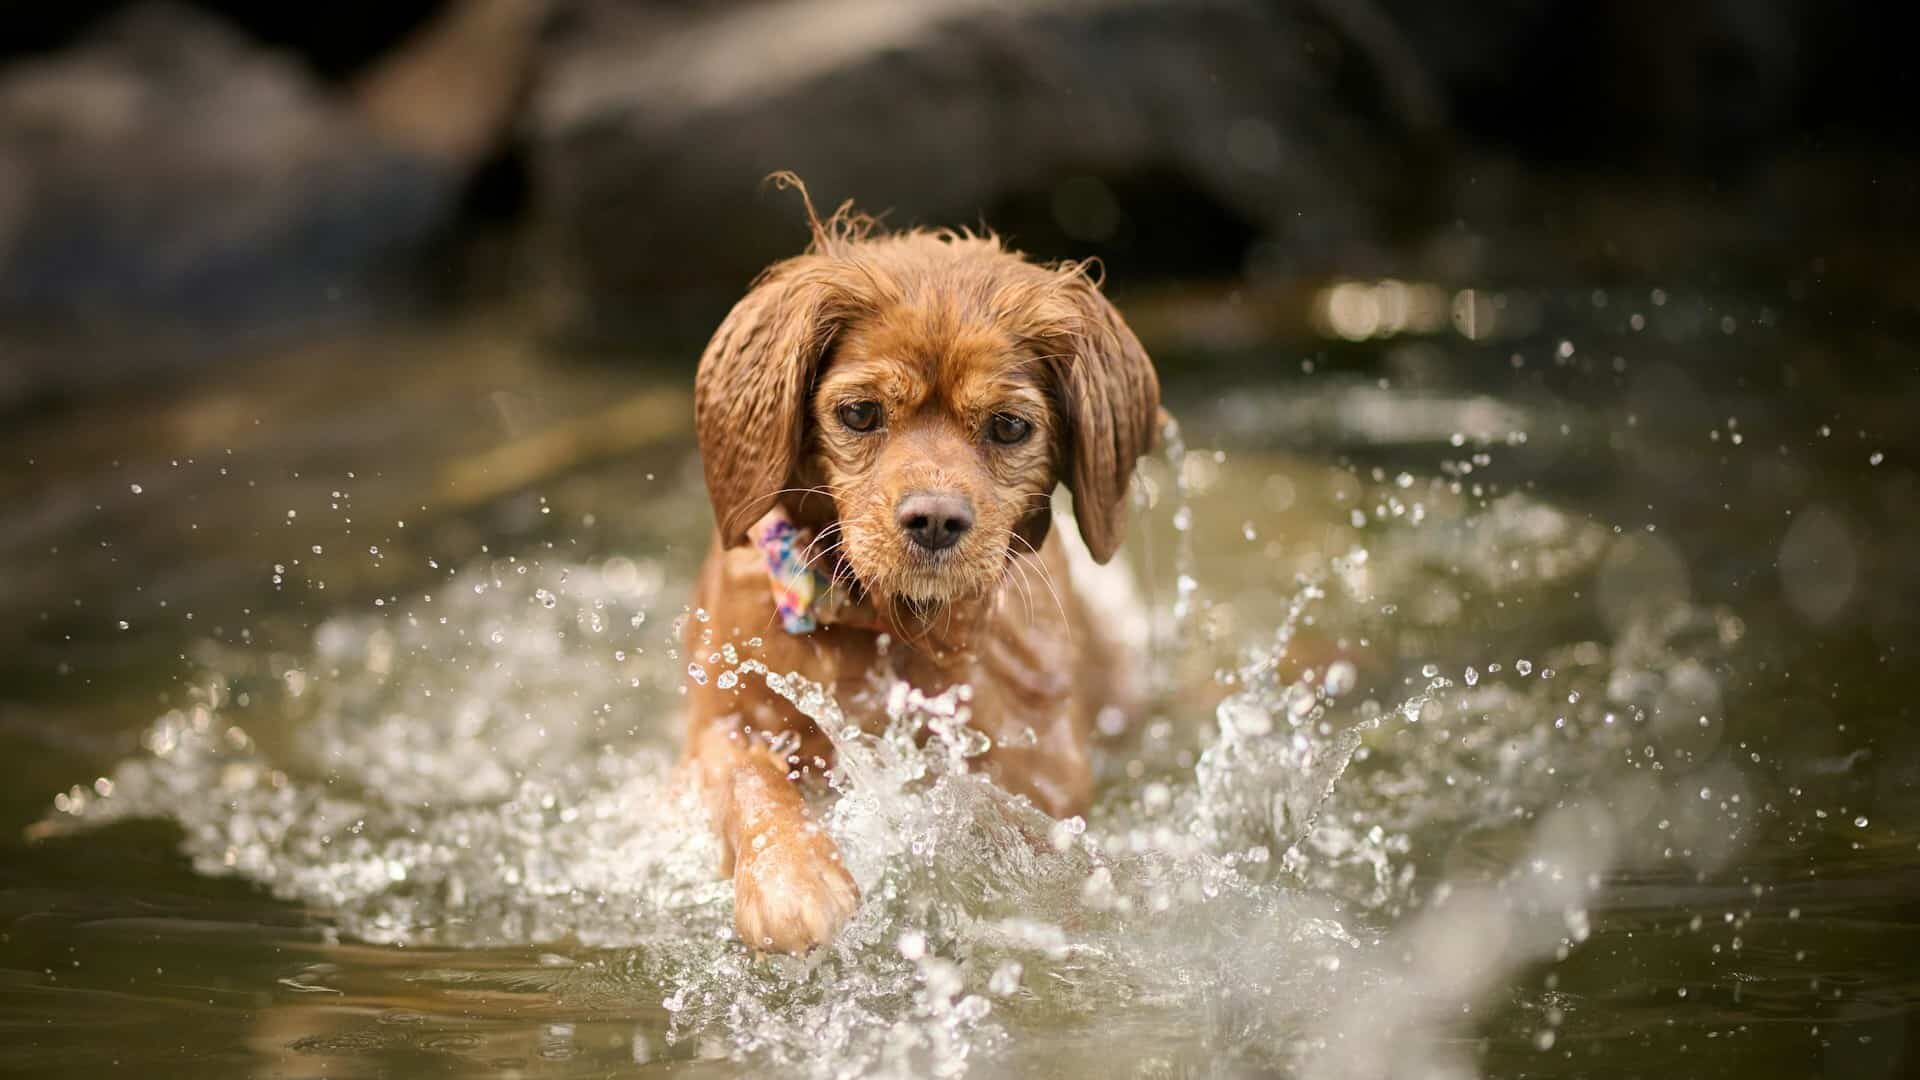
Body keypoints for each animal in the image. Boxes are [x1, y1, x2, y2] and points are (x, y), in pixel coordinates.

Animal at [679, 178, 1152, 949]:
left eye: (1009, 426)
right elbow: (748, 773)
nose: (934, 520)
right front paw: (792, 881)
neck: (890, 633)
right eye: (860, 413)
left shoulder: (1041, 770)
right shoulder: (716, 726)